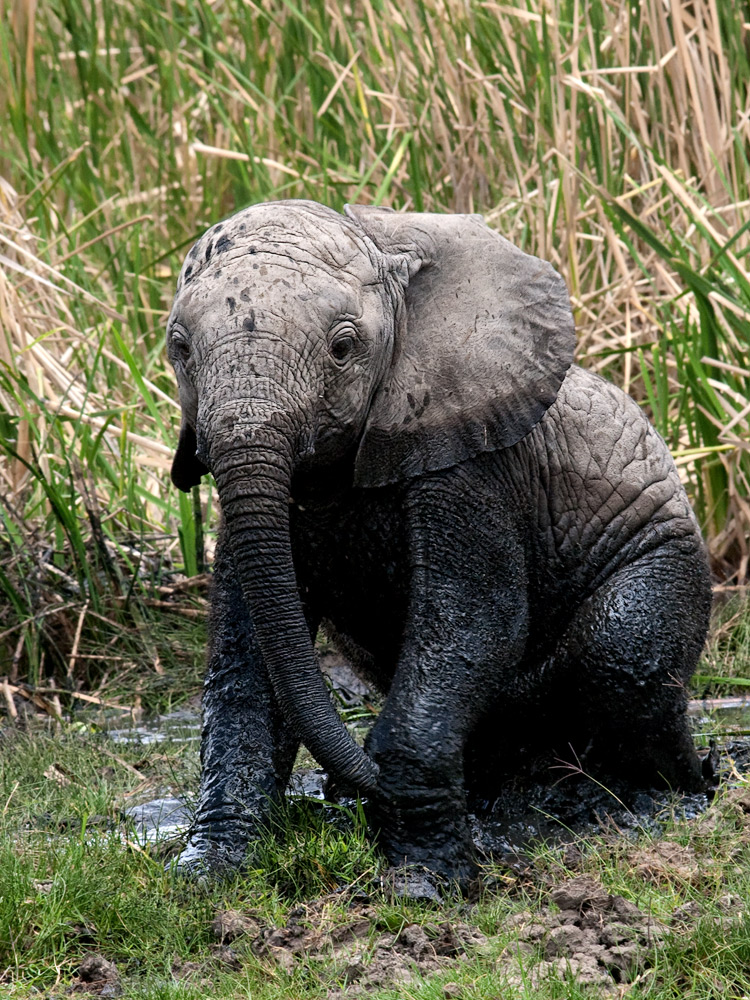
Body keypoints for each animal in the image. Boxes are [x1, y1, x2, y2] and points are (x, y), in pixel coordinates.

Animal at [167, 199, 712, 888]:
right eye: (178, 347)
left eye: (343, 347)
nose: (358, 782)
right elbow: (250, 660)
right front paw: (210, 870)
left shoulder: (469, 455)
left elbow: (473, 622)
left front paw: (425, 879)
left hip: (665, 556)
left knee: (619, 653)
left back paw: (643, 802)